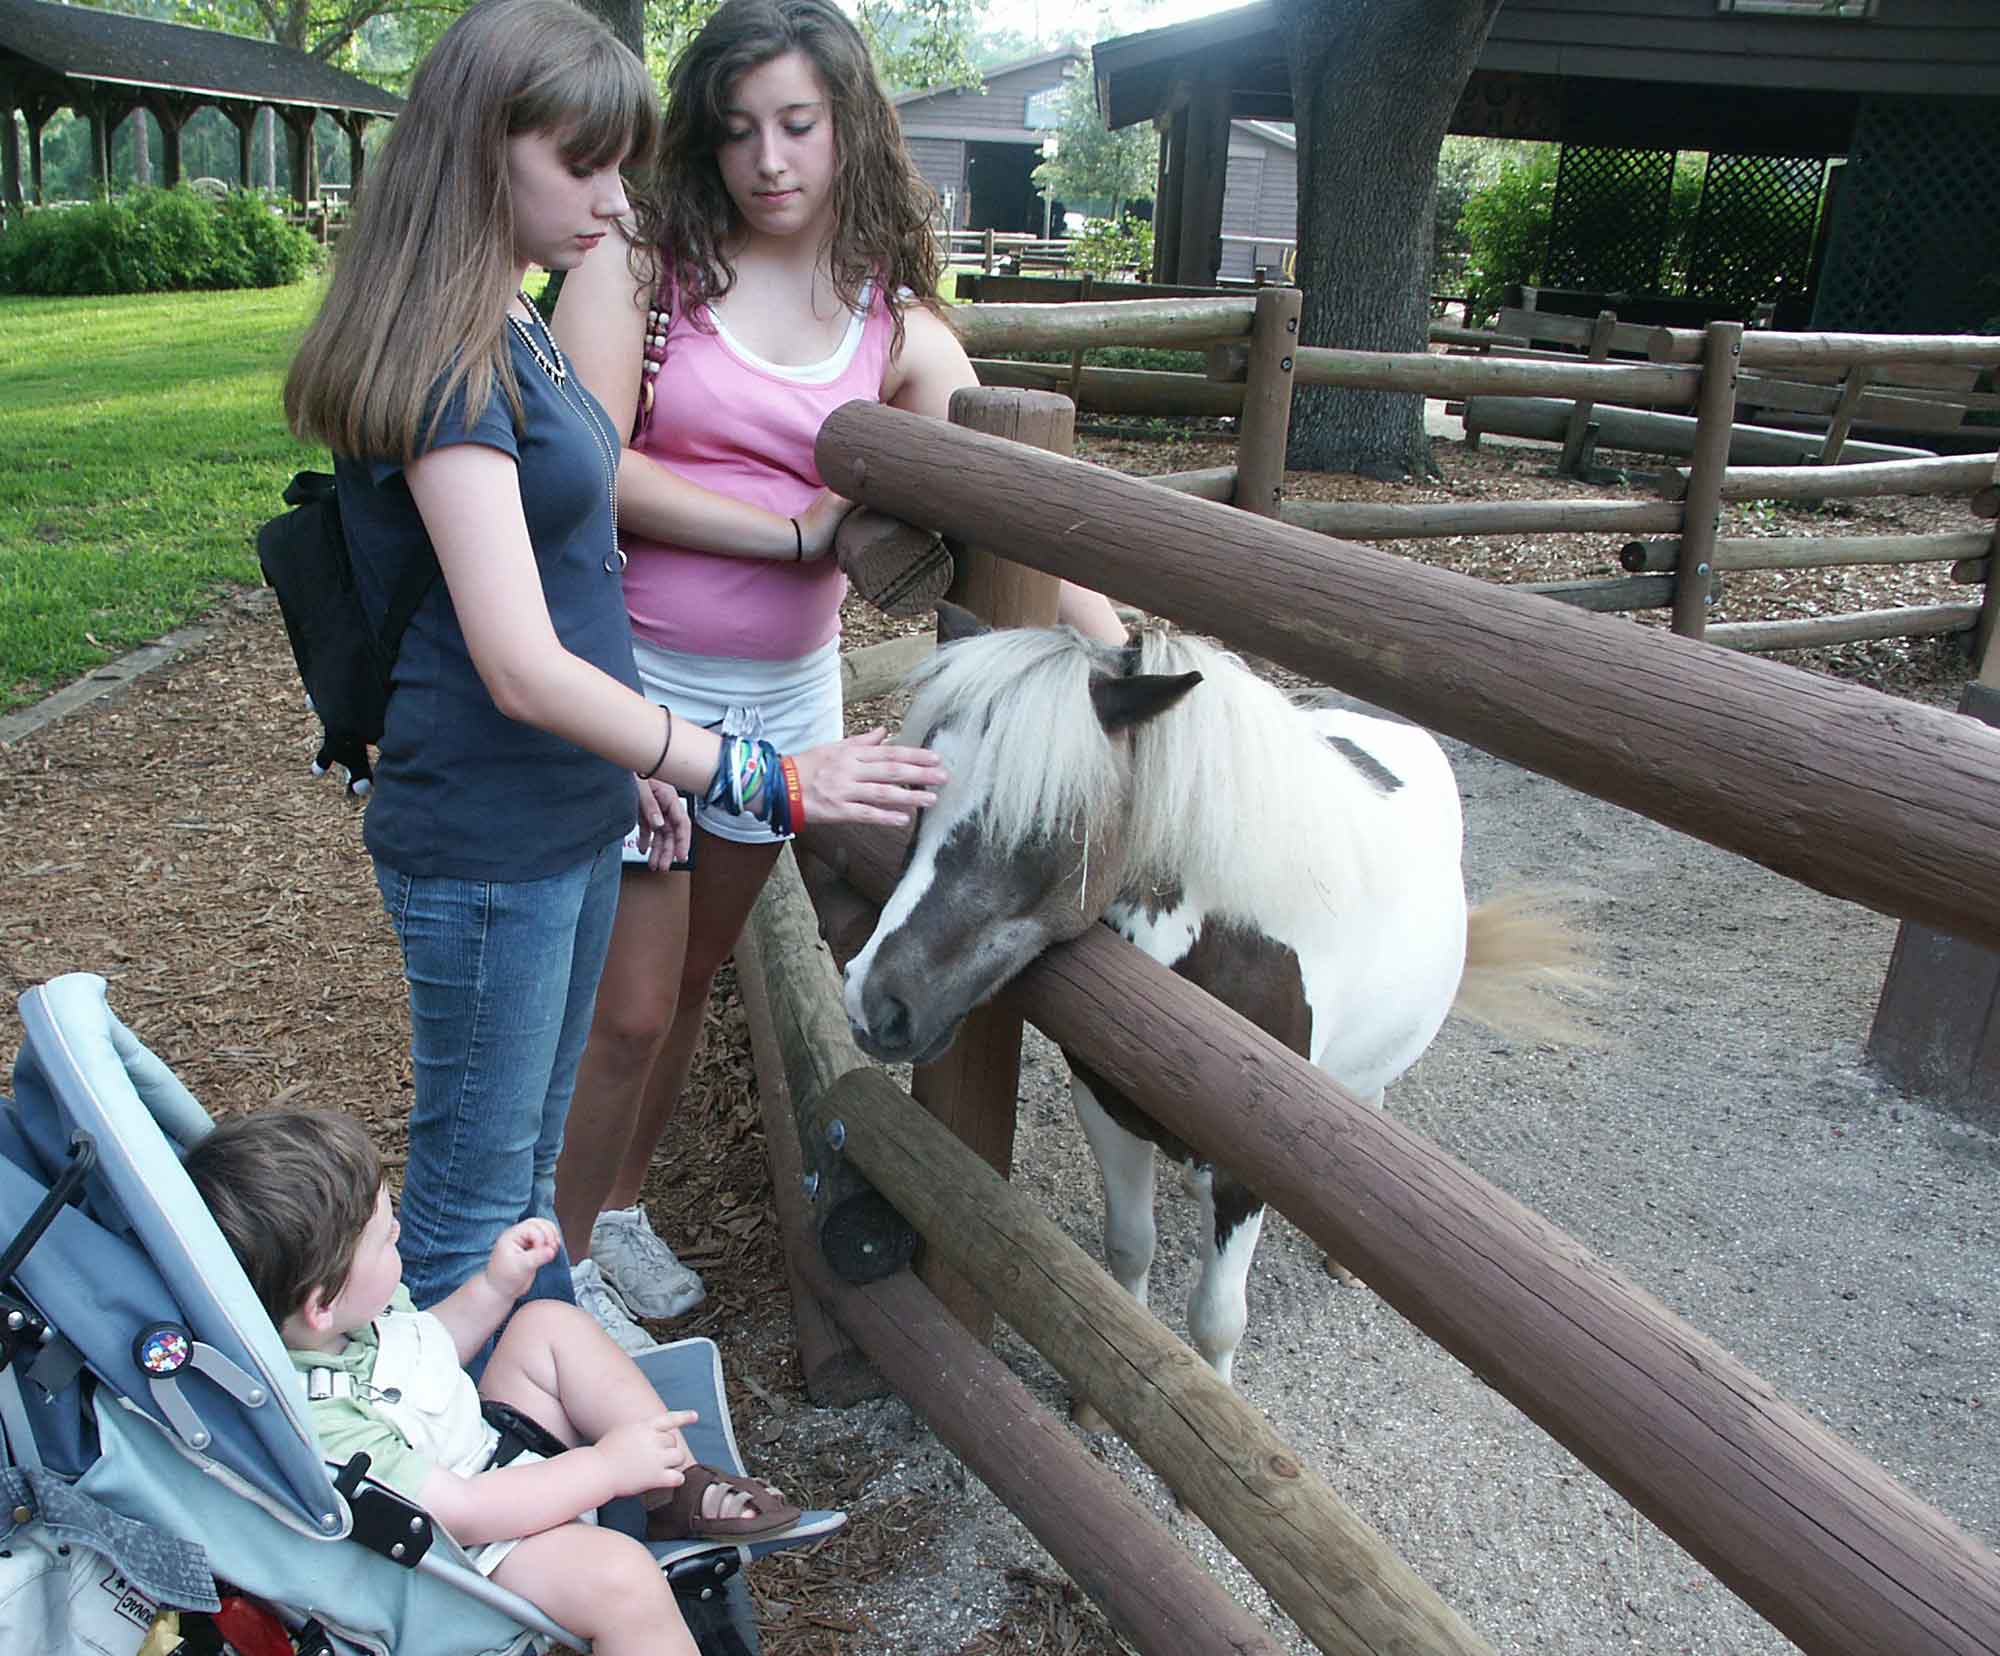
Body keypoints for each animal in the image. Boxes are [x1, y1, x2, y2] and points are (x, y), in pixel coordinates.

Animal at [840, 616, 1576, 1416]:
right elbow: (1127, 1252)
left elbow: (1216, 1317)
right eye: (919, 799)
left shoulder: (1251, 1170)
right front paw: (1098, 1400)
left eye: (1045, 823)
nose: (873, 999)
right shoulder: (1109, 1111)